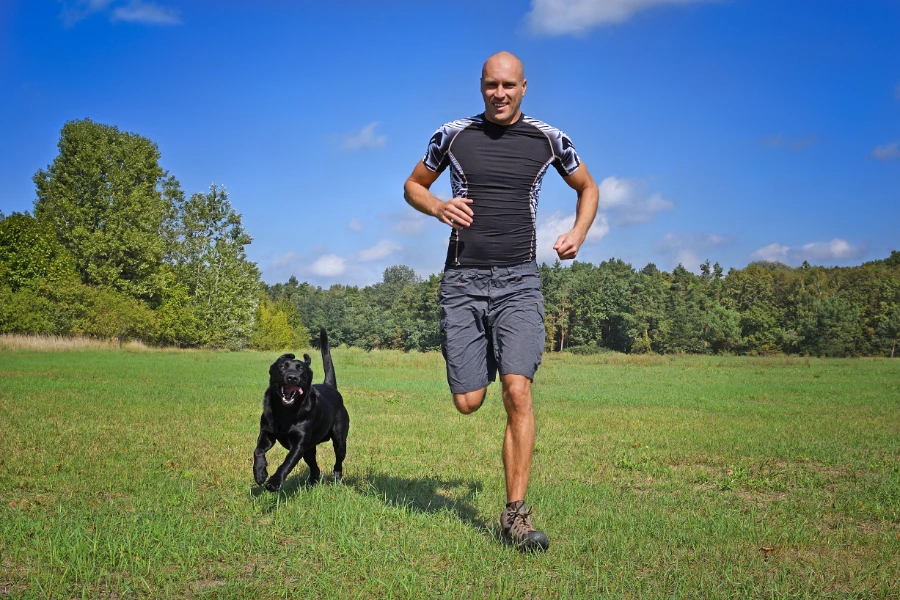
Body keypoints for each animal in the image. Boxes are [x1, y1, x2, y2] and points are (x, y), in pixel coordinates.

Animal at [256, 328, 352, 492]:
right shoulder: (266, 433)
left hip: (339, 441)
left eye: (301, 369)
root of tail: (330, 386)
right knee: (315, 468)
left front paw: (274, 482)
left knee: (338, 462)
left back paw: (337, 479)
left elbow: (287, 462)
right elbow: (258, 451)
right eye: (282, 366)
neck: (285, 412)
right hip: (310, 450)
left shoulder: (299, 444)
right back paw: (311, 484)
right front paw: (260, 474)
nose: (292, 377)